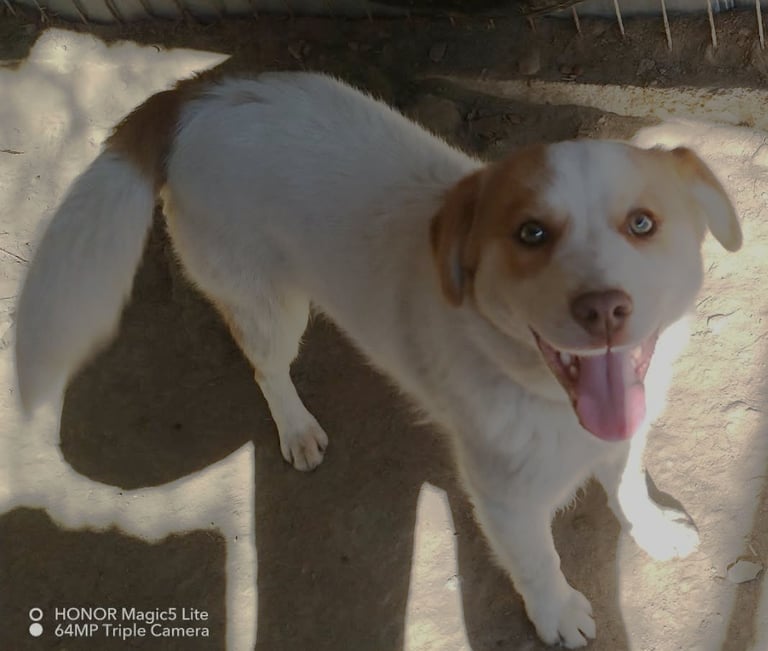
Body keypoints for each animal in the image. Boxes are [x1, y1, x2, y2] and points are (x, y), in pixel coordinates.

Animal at [15, 72, 742, 647]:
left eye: (642, 224)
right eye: (531, 233)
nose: (605, 309)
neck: (542, 397)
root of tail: (198, 94)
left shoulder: (625, 433)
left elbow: (627, 485)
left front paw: (650, 529)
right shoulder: (505, 500)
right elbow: (538, 562)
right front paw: (557, 613)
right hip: (268, 304)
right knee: (265, 365)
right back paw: (296, 427)